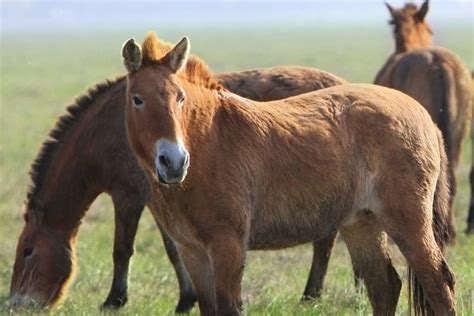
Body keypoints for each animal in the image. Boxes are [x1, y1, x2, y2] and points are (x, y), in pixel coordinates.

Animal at [9, 48, 346, 310]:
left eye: (27, 251)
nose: (16, 303)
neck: (107, 131)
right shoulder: (164, 199)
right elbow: (174, 249)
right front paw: (188, 297)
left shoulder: (130, 195)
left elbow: (124, 248)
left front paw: (115, 300)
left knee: (325, 241)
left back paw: (311, 295)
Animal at [125, 32, 456, 316]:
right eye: (137, 99)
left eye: (180, 98)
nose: (174, 163)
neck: (209, 141)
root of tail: (423, 114)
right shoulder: (192, 251)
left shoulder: (227, 246)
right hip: (363, 224)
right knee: (384, 287)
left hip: (408, 223)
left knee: (439, 283)